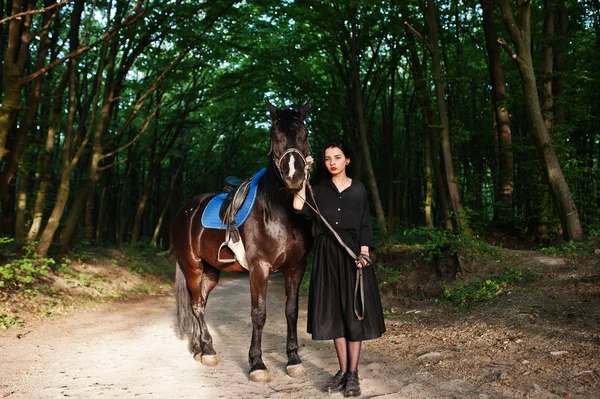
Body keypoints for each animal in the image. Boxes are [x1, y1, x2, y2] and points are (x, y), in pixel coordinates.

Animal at [169, 101, 310, 382]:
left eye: (305, 134)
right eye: (274, 135)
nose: (294, 176)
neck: (280, 212)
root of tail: (186, 211)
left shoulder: (296, 267)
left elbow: (291, 311)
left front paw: (294, 360)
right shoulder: (259, 268)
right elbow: (259, 313)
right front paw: (257, 365)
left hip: (211, 272)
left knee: (199, 303)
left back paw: (199, 349)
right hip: (193, 267)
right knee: (197, 306)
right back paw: (208, 351)